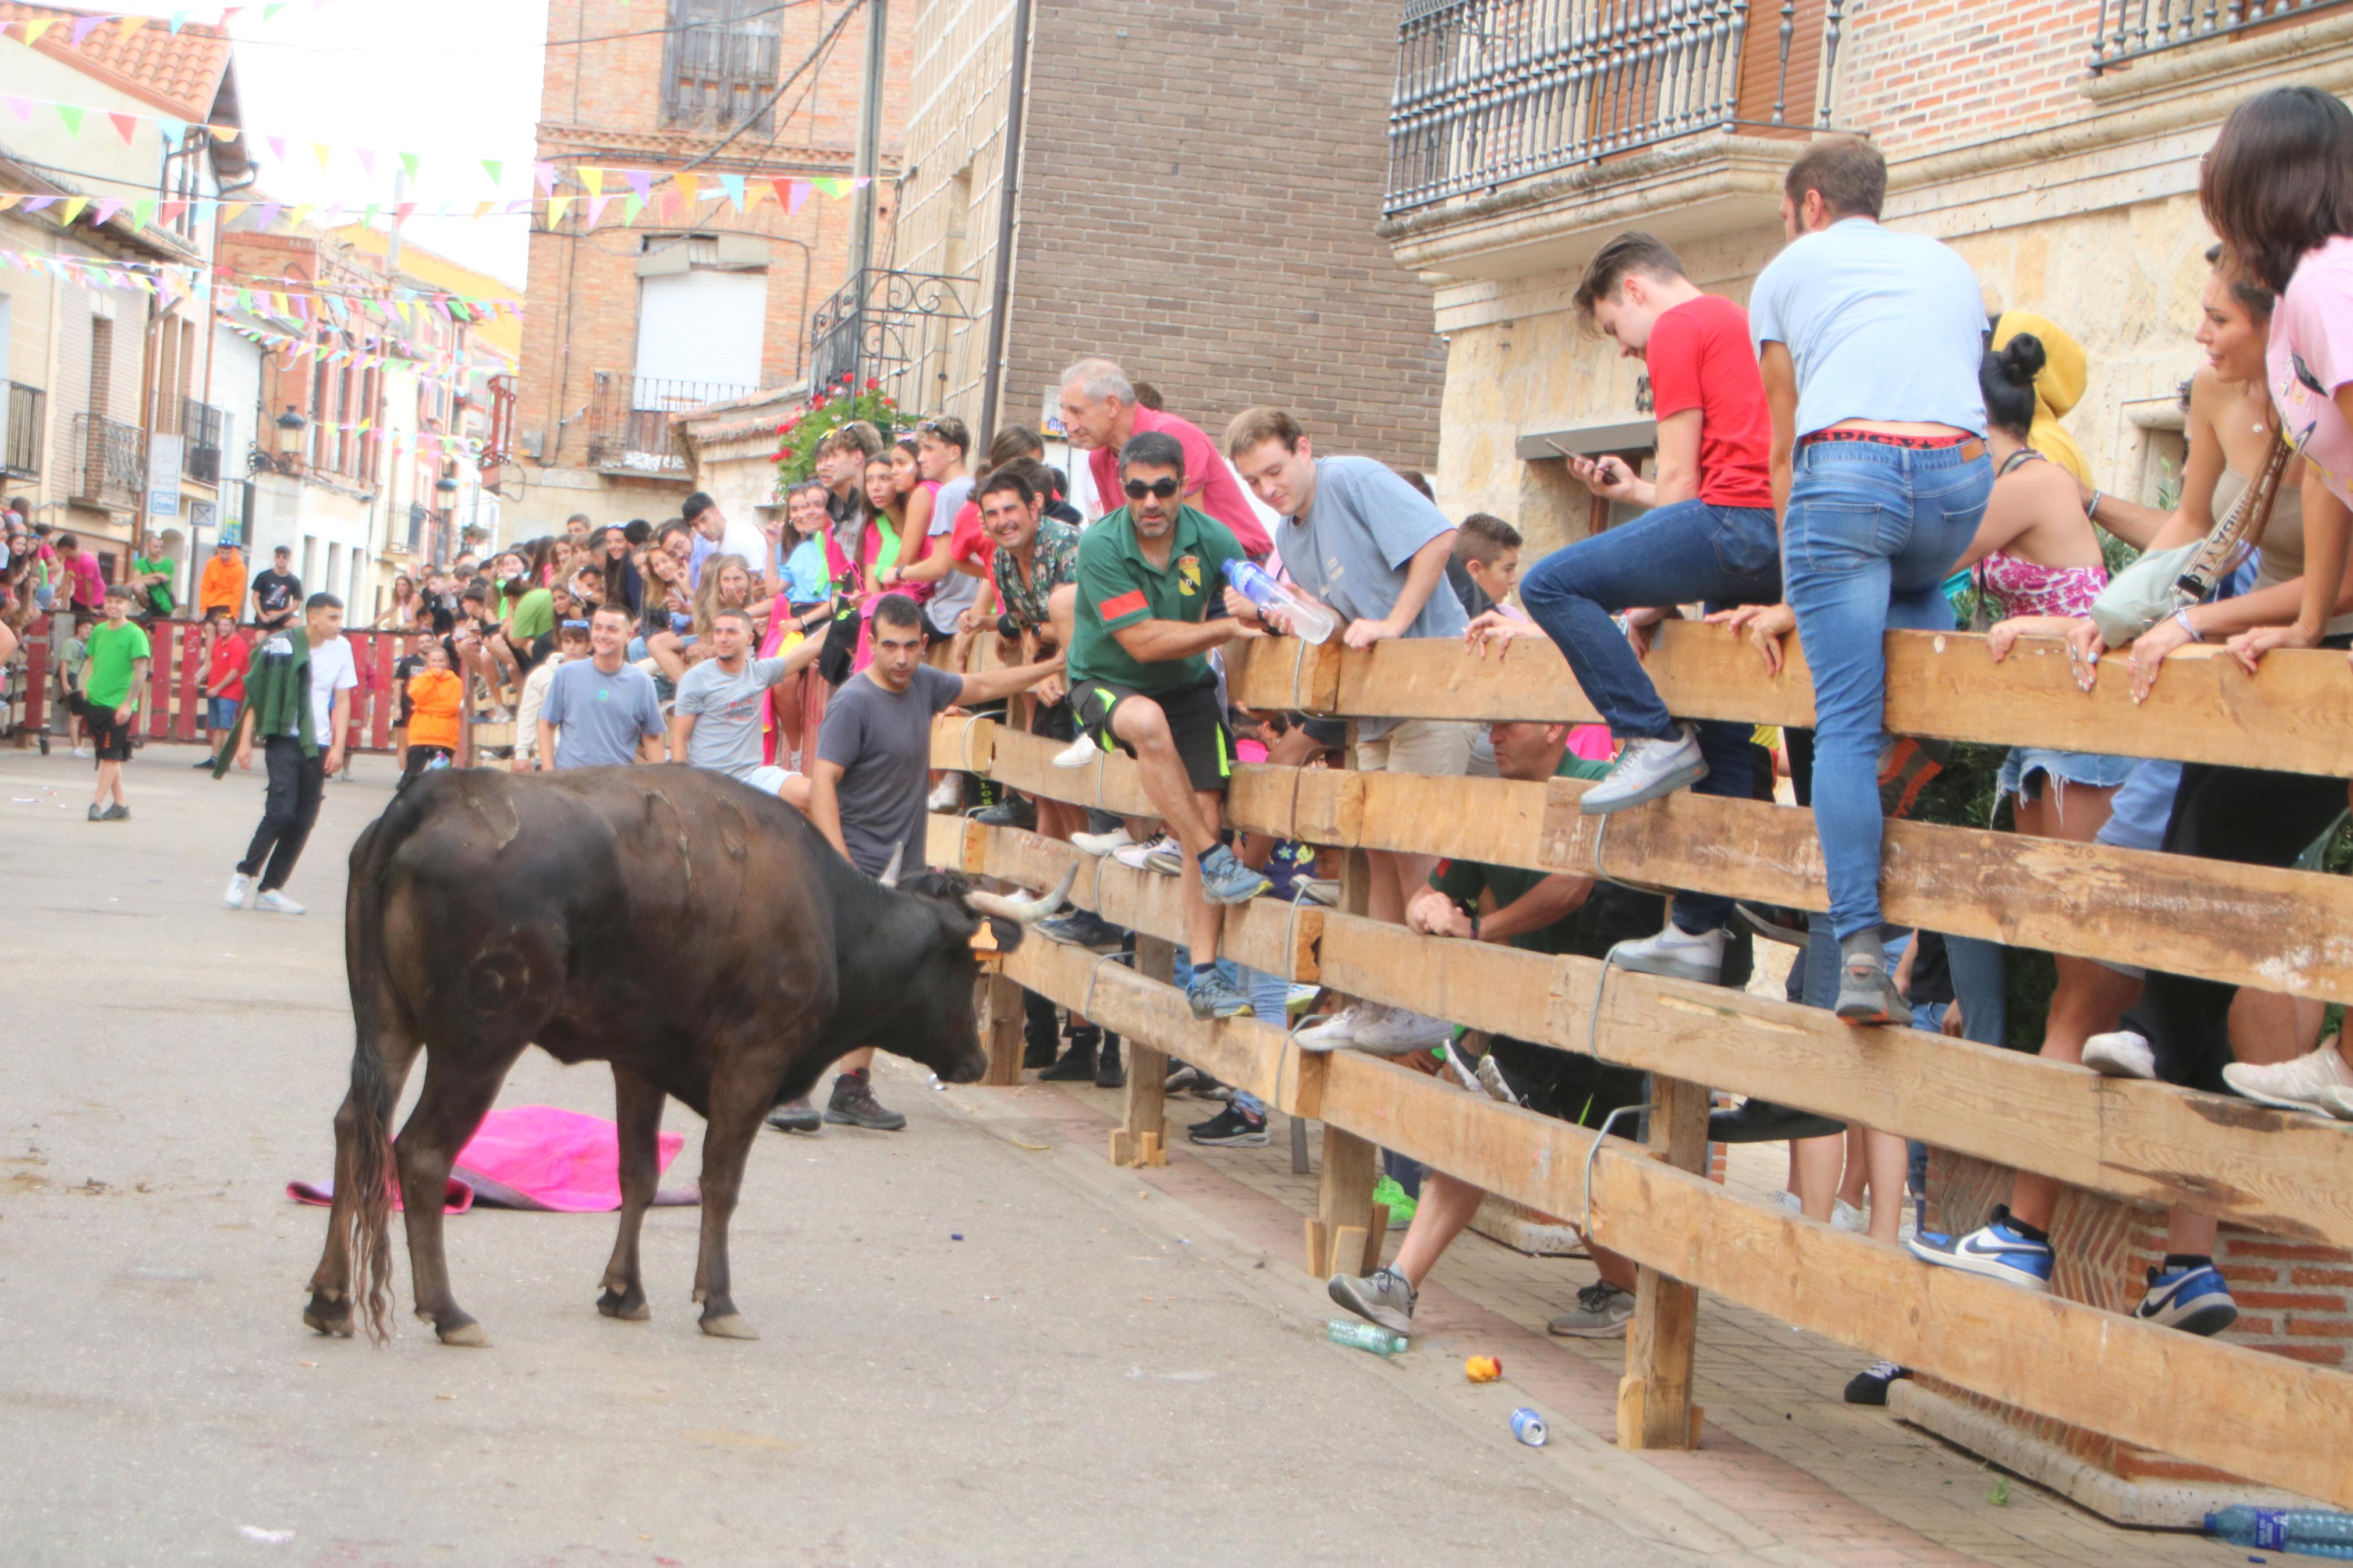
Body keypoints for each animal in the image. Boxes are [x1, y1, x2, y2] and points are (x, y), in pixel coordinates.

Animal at [299, 766, 1073, 1345]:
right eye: (969, 966)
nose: (975, 1062)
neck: (827, 913)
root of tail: (436, 793)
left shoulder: (639, 1058)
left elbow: (637, 1174)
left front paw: (623, 1289)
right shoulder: (753, 1058)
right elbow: (720, 1182)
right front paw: (718, 1301)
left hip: (387, 1023)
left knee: (353, 1127)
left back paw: (330, 1297)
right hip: (480, 1040)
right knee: (422, 1152)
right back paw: (448, 1311)